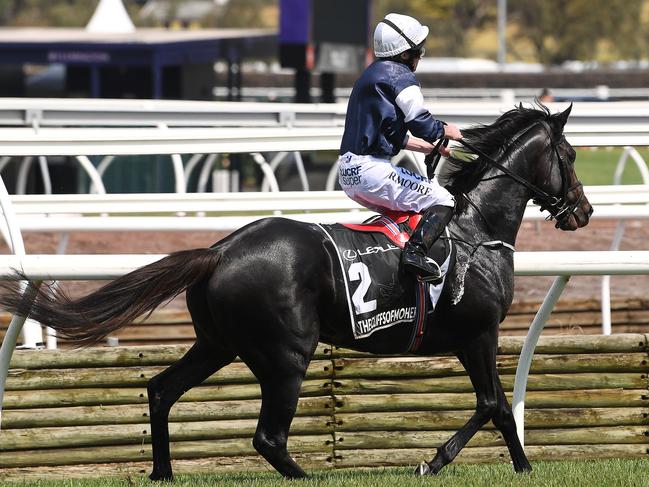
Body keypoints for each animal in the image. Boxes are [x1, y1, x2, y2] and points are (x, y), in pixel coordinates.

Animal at [0, 104, 592, 480]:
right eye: (569, 156)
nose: (583, 211)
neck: (474, 228)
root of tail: (221, 249)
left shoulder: (475, 338)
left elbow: (495, 406)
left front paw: (508, 465)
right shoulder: (478, 334)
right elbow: (494, 403)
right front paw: (455, 462)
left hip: (217, 345)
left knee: (162, 390)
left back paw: (162, 473)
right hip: (286, 354)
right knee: (268, 436)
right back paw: (303, 475)